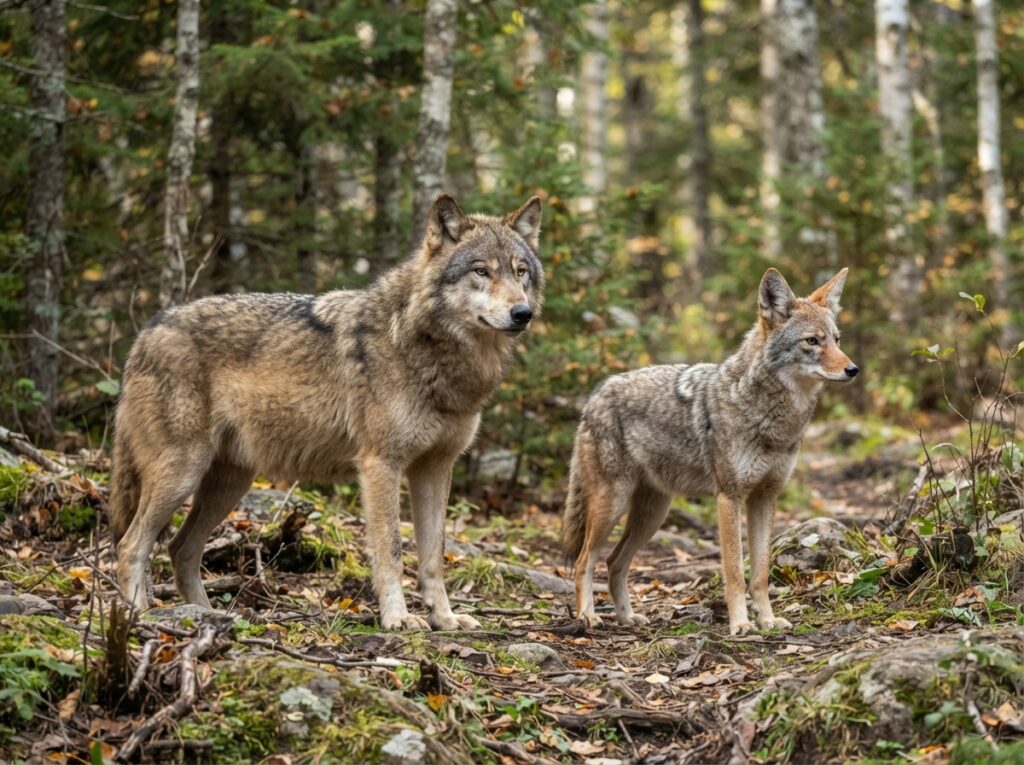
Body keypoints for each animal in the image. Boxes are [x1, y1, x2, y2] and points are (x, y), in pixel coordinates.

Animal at [108, 194, 544, 631]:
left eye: (520, 272)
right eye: (481, 271)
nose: (523, 313)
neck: (429, 349)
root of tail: (145, 333)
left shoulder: (435, 468)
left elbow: (434, 556)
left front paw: (445, 618)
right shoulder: (380, 465)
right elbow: (390, 550)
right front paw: (398, 619)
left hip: (228, 484)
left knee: (180, 548)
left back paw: (208, 615)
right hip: (183, 474)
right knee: (131, 545)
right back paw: (138, 616)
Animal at [563, 268, 857, 635]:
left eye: (837, 339)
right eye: (812, 341)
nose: (853, 369)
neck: (774, 420)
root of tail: (596, 394)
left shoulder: (765, 498)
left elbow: (760, 573)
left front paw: (768, 621)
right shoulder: (728, 498)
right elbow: (734, 572)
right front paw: (741, 624)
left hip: (652, 515)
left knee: (615, 561)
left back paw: (628, 617)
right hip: (612, 506)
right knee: (583, 561)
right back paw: (587, 616)